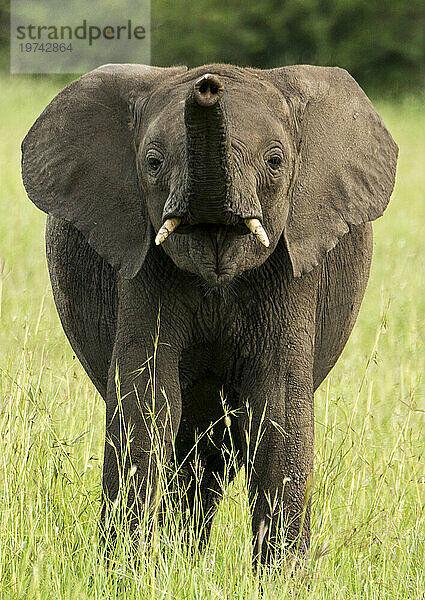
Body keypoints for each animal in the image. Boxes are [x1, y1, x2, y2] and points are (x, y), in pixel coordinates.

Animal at [21, 62, 396, 564]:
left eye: (276, 161)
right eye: (153, 162)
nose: (208, 84)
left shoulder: (294, 266)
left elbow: (277, 409)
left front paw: (280, 576)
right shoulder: (141, 263)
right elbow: (147, 399)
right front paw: (125, 570)